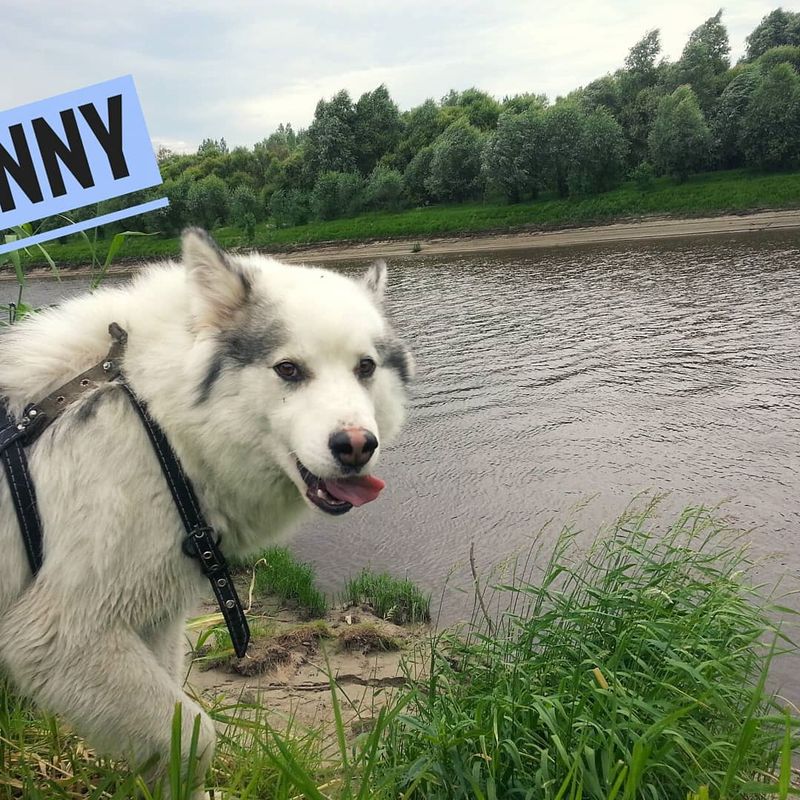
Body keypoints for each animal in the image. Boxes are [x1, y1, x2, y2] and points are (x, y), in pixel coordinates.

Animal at [0, 228, 416, 796]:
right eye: (289, 370)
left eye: (365, 368)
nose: (356, 446)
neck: (157, 420)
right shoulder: (64, 635)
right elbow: (195, 737)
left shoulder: (152, 621)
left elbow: (176, 737)